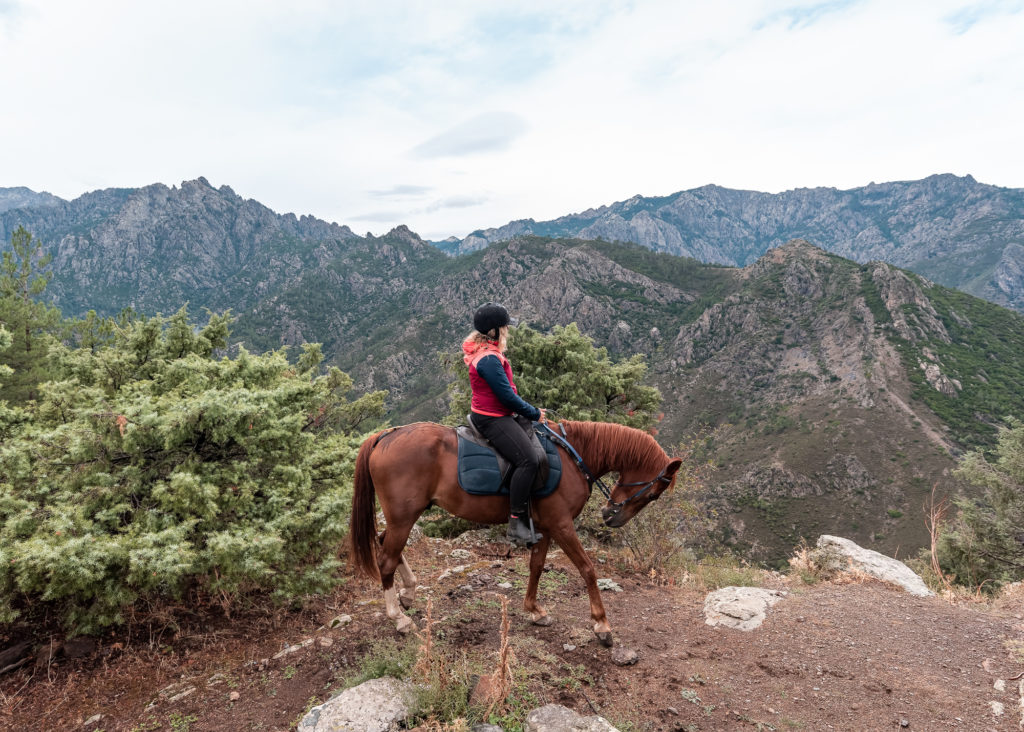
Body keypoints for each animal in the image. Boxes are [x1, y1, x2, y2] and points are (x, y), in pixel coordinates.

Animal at [350, 417, 679, 647]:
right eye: (654, 495)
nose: (611, 516)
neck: (574, 457)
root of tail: (385, 435)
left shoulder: (546, 526)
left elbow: (536, 566)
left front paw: (534, 610)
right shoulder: (561, 525)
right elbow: (587, 569)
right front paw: (601, 625)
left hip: (403, 517)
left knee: (386, 545)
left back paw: (408, 592)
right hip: (403, 517)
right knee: (386, 560)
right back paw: (399, 619)